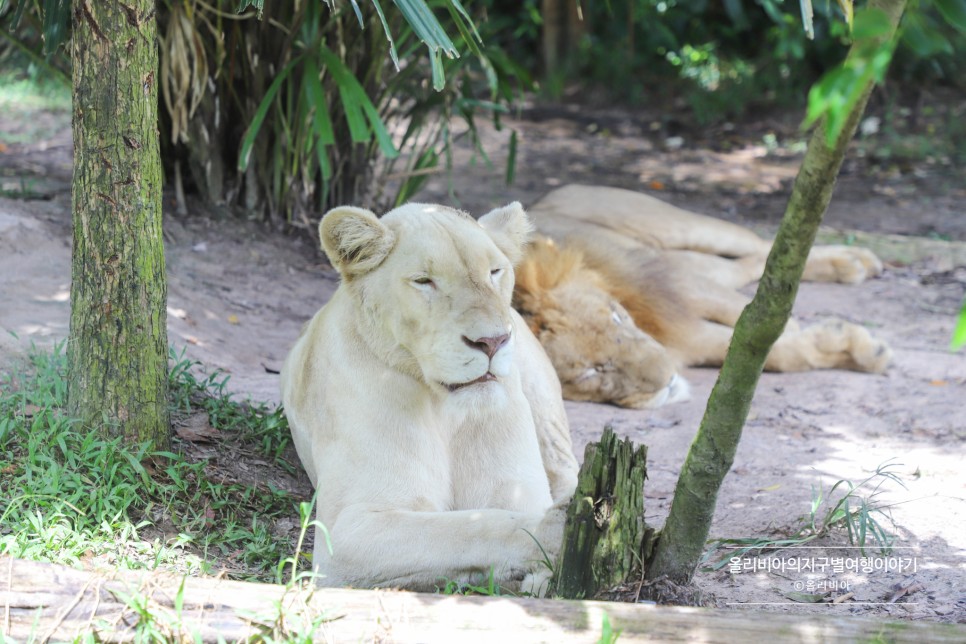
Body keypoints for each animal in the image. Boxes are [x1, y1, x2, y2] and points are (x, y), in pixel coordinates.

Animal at [284, 201, 580, 592]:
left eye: (495, 272)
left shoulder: (518, 490)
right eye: (424, 281)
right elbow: (472, 527)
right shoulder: (348, 533)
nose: (493, 341)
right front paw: (555, 534)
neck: (447, 410)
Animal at [520, 185, 896, 408]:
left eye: (616, 316)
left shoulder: (676, 285)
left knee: (764, 248)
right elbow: (783, 354)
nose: (669, 379)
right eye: (591, 373)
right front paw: (852, 347)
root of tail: (550, 195)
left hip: (674, 229)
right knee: (745, 265)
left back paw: (852, 260)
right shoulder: (687, 336)